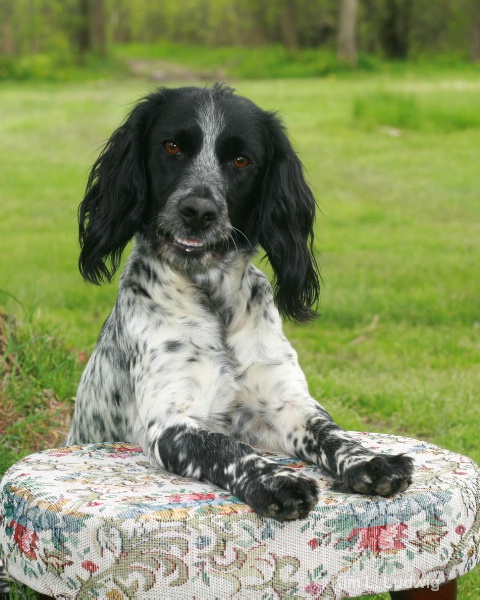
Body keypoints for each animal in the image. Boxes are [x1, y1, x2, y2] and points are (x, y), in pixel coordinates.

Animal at [66, 84, 412, 520]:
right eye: (172, 146)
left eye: (241, 159)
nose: (198, 211)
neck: (214, 301)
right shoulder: (170, 422)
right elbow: (229, 447)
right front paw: (277, 481)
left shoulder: (284, 403)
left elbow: (330, 432)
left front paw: (371, 461)